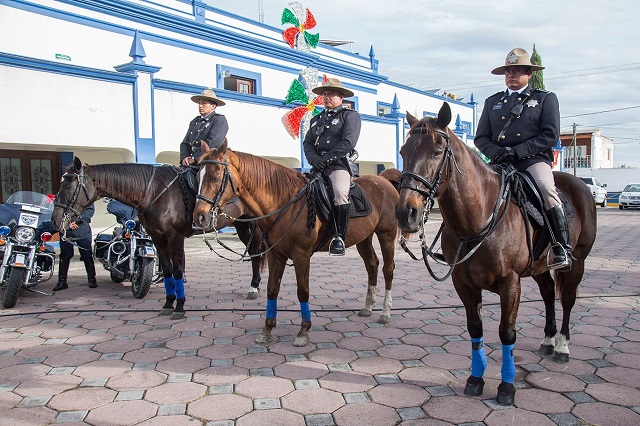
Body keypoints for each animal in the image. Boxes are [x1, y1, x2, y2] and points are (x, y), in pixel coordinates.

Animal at [49, 158, 264, 318]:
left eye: (69, 187)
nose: (55, 220)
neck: (154, 192)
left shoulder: (175, 236)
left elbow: (177, 271)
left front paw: (180, 306)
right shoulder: (158, 237)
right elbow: (167, 270)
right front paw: (169, 303)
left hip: (252, 225)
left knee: (256, 253)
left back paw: (254, 287)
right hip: (241, 224)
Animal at [192, 141, 400, 348]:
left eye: (215, 176)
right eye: (197, 176)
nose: (199, 216)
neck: (285, 201)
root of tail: (383, 181)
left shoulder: (301, 254)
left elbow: (303, 291)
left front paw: (303, 331)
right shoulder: (276, 254)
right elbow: (272, 289)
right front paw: (267, 330)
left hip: (386, 234)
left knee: (388, 269)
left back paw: (385, 312)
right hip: (363, 238)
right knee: (372, 265)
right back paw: (368, 306)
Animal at [398, 102, 596, 406]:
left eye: (436, 152)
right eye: (403, 152)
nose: (405, 213)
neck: (479, 217)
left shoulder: (510, 283)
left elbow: (507, 333)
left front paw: (507, 386)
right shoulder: (463, 284)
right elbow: (475, 329)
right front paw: (475, 379)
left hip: (576, 264)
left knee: (568, 300)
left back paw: (562, 345)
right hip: (539, 268)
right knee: (548, 294)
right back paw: (548, 340)